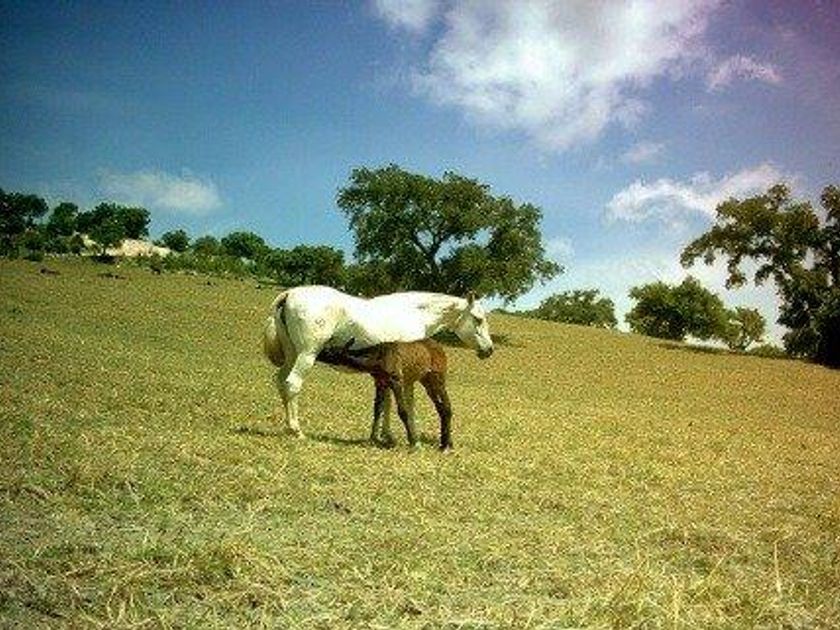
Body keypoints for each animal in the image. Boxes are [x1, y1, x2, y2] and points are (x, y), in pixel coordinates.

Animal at [262, 285, 492, 438]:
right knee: (292, 383)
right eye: (478, 319)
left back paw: (288, 426)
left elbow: (388, 401)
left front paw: (385, 434)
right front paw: (410, 434)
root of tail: (290, 294)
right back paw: (297, 430)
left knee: (281, 381)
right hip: (307, 355)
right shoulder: (406, 375)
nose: (489, 350)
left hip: (293, 355)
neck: (415, 313)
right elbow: (407, 402)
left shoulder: (389, 373)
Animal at [317, 339, 453, 450]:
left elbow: (402, 411)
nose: (317, 354)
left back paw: (445, 445)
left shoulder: (396, 380)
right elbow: (377, 409)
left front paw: (413, 442)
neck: (377, 360)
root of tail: (441, 349)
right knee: (441, 408)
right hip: (426, 380)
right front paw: (372, 438)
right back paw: (446, 442)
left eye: (329, 351)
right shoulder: (380, 382)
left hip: (438, 377)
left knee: (446, 406)